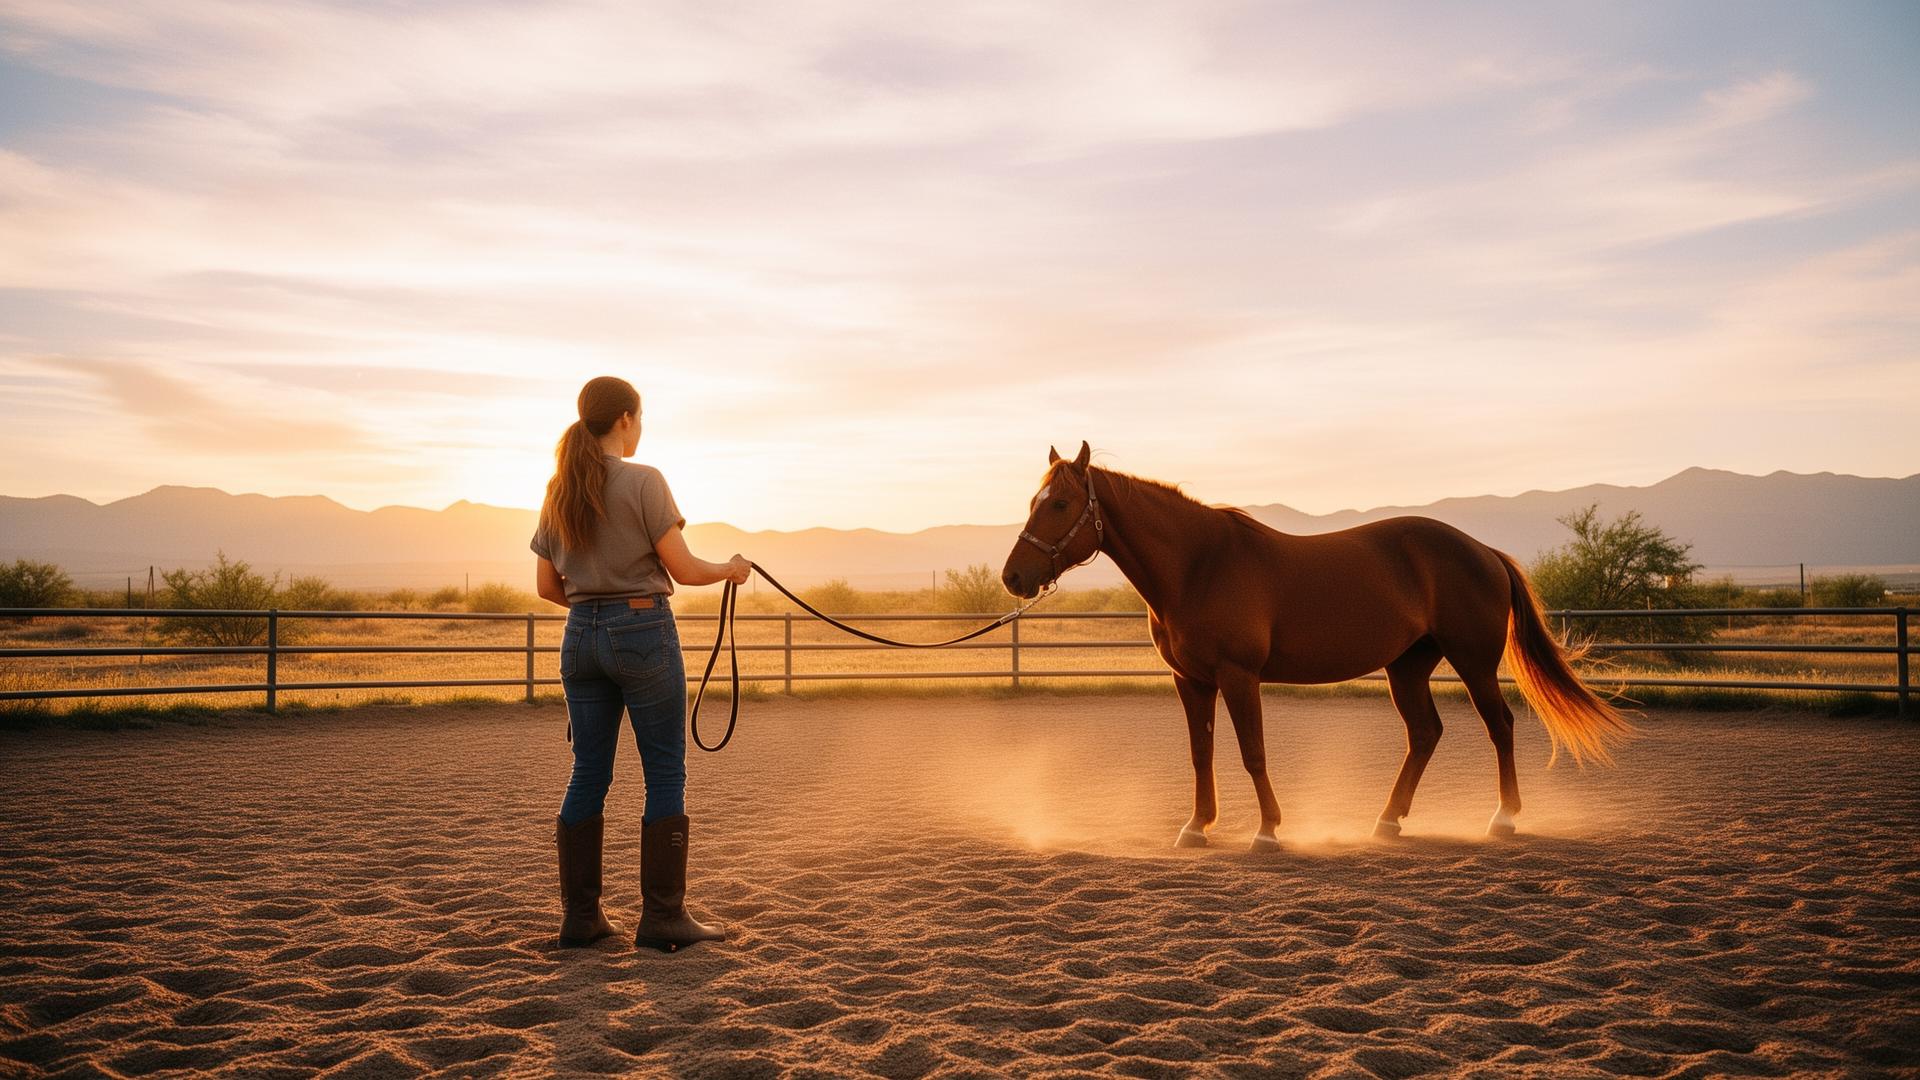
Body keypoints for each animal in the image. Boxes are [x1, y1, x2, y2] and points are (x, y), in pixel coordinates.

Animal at [999, 442, 1633, 851]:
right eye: (1032, 502)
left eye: (1059, 504)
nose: (1013, 577)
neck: (1200, 564)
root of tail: (1482, 550)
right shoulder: (1191, 681)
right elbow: (1202, 753)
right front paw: (1197, 827)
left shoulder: (1238, 676)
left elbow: (1252, 751)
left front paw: (1267, 831)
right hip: (1408, 667)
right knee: (1425, 733)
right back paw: (1388, 821)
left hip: (1473, 662)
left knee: (1499, 725)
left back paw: (1502, 819)